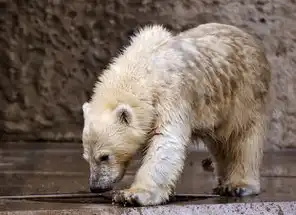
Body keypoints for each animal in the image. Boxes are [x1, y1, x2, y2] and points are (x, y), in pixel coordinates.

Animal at [81, 22, 270, 207]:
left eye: (104, 156)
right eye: (86, 157)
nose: (95, 187)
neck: (144, 66)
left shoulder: (170, 94)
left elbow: (165, 141)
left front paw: (131, 195)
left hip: (245, 94)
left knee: (242, 137)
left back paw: (238, 186)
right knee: (220, 143)